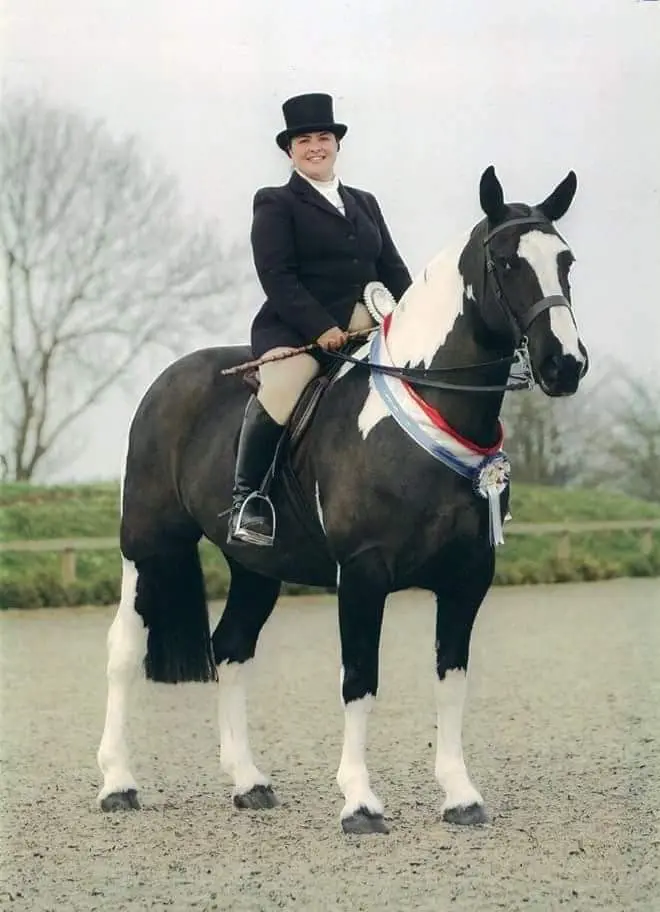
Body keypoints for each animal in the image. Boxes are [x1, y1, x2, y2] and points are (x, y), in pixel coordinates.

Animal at [96, 165, 589, 835]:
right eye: (508, 262)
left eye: (566, 260)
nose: (565, 365)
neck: (428, 407)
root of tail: (169, 380)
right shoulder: (362, 572)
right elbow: (360, 679)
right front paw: (359, 801)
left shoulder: (469, 576)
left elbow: (451, 679)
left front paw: (460, 795)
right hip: (147, 547)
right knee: (125, 651)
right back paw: (117, 783)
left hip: (255, 566)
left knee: (231, 651)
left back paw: (249, 782)